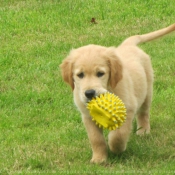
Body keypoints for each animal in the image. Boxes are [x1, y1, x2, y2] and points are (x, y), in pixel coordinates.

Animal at [60, 22, 175, 163]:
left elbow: (118, 135)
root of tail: (128, 45)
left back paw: (143, 131)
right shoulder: (87, 116)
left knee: (143, 113)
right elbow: (96, 139)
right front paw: (99, 159)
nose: (89, 93)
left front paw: (116, 149)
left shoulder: (128, 108)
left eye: (100, 73)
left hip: (147, 92)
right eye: (80, 75)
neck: (109, 88)